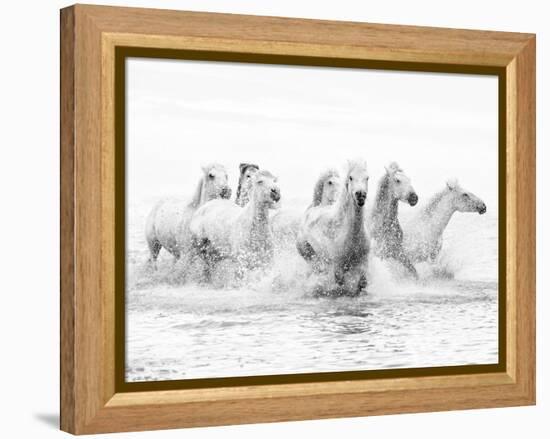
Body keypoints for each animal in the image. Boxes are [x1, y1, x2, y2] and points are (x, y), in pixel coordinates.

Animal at [298, 160, 370, 298]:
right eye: (350, 177)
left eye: (367, 177)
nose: (360, 195)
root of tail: (313, 208)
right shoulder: (337, 265)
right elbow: (340, 281)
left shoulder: (363, 260)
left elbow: (363, 282)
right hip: (307, 252)